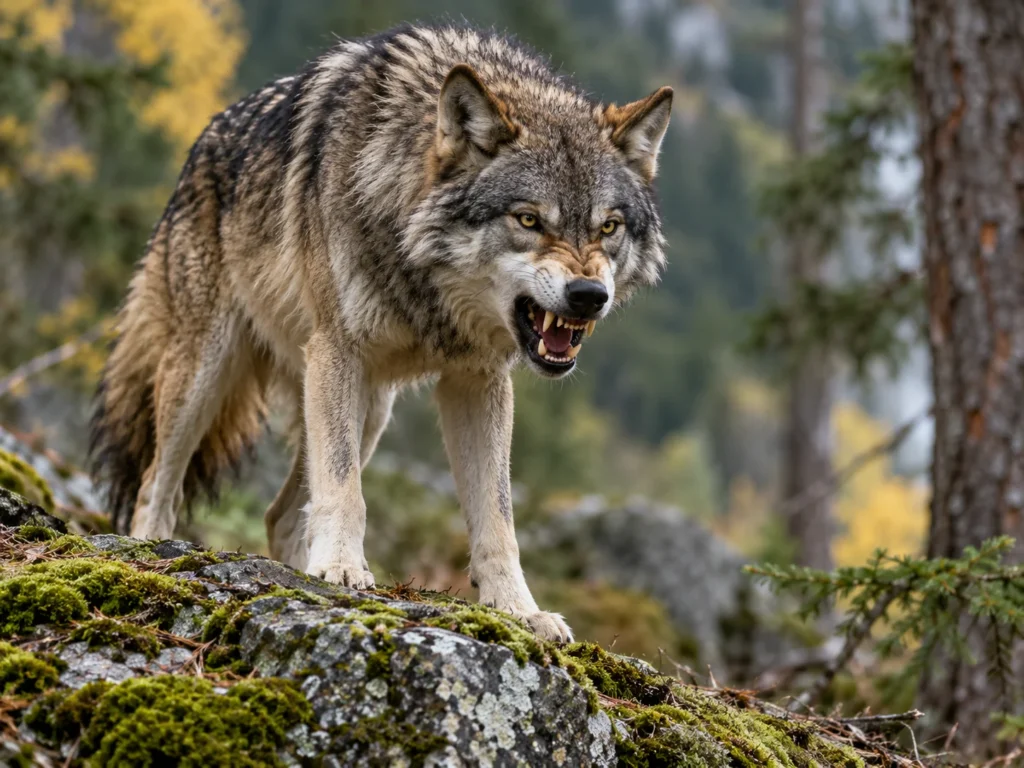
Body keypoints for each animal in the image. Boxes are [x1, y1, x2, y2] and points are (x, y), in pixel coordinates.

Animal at [90, 23, 671, 642]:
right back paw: (155, 552)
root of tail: (201, 143)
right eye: (529, 220)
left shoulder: (478, 380)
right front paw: (344, 570)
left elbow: (498, 518)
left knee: (279, 514)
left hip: (370, 408)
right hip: (209, 374)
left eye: (608, 227)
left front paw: (520, 611)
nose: (589, 296)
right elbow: (346, 490)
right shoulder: (336, 352)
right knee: (157, 483)